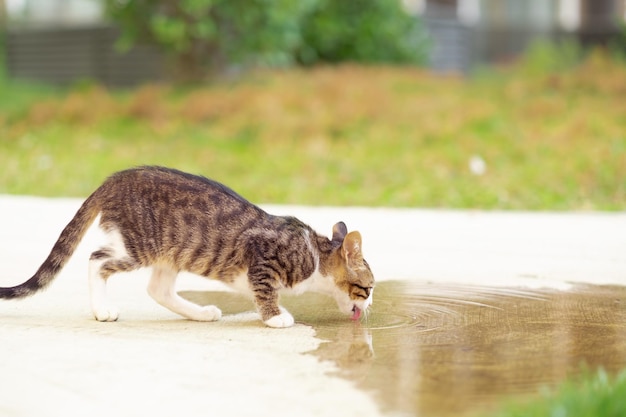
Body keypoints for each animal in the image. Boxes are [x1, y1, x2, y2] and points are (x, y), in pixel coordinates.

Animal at [0, 165, 372, 324]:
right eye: (368, 289)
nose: (369, 306)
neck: (315, 253)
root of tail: (114, 178)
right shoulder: (261, 257)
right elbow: (265, 291)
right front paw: (275, 317)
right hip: (140, 245)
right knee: (96, 259)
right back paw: (101, 309)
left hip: (171, 252)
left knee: (157, 289)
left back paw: (199, 313)